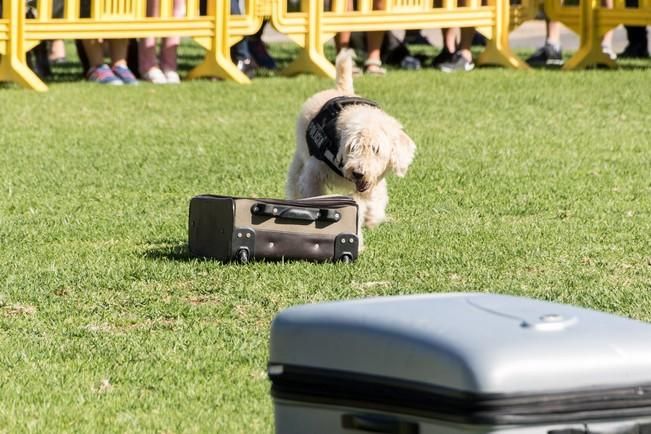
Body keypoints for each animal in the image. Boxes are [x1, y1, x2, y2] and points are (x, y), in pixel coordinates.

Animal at [286, 49, 418, 246]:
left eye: (376, 149)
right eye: (352, 147)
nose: (358, 172)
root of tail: (342, 90)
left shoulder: (372, 184)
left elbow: (372, 203)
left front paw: (371, 220)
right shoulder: (313, 172)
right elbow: (313, 193)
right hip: (300, 158)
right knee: (294, 180)